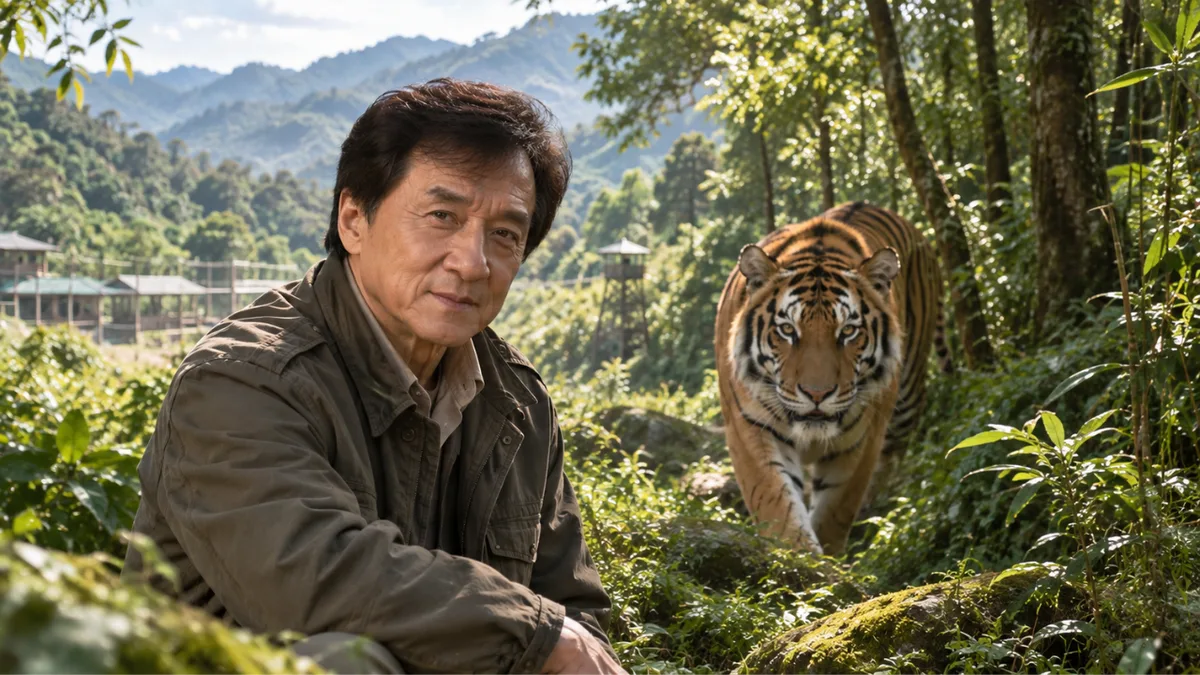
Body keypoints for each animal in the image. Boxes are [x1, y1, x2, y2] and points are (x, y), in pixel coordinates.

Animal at [714, 201, 948, 555]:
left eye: (848, 331)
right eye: (787, 330)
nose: (817, 394)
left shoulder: (861, 439)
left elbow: (835, 511)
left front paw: (828, 561)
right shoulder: (749, 428)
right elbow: (776, 503)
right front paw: (800, 559)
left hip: (906, 398)